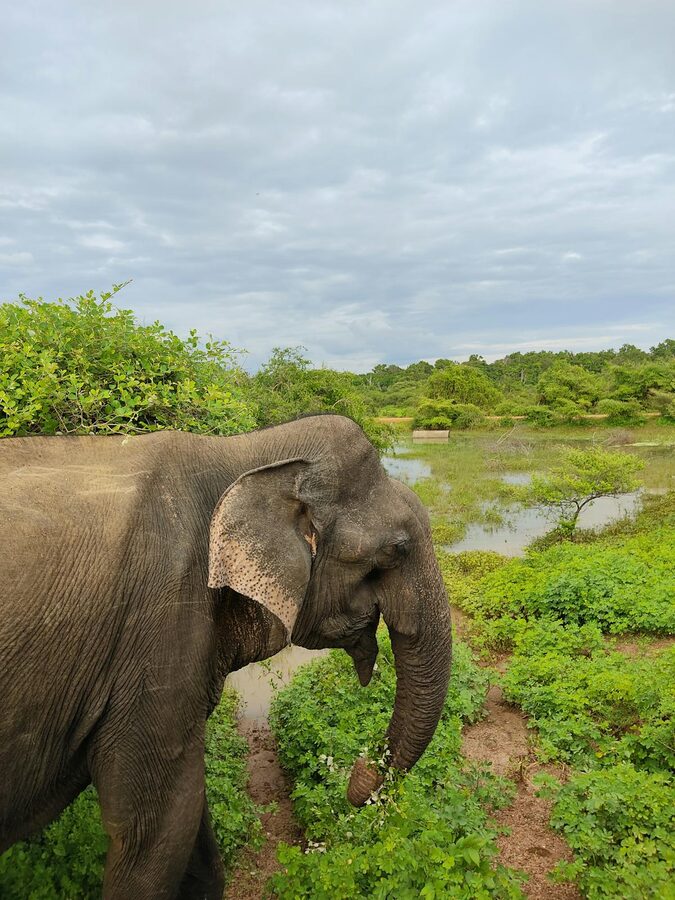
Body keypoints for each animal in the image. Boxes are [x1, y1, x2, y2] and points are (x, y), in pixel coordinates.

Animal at [0, 414, 452, 899]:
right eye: (394, 551)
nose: (359, 769)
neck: (243, 453)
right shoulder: (161, 631)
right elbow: (157, 824)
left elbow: (187, 819)